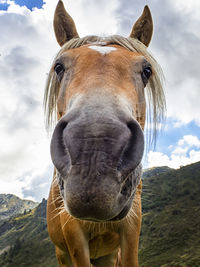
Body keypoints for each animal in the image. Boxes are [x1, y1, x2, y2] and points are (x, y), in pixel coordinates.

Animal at [45, 1, 166, 266]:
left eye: (147, 71)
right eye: (59, 67)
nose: (94, 147)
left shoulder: (131, 226)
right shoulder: (73, 233)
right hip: (62, 254)